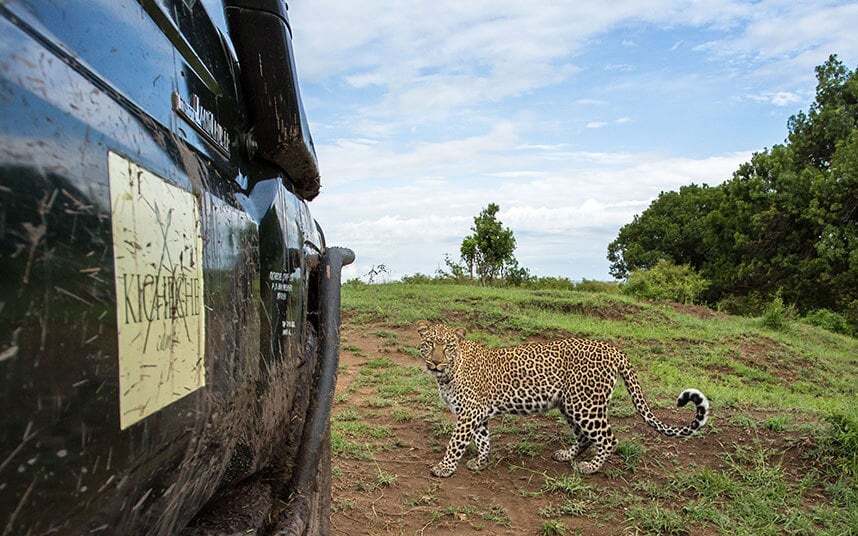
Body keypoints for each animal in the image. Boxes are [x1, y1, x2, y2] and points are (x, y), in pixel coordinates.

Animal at [416, 320, 708, 480]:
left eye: (448, 347)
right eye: (429, 344)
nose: (436, 362)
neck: (449, 373)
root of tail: (612, 348)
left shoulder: (469, 412)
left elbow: (456, 442)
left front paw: (444, 468)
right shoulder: (476, 413)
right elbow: (483, 439)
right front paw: (481, 462)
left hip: (585, 405)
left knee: (608, 439)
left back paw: (589, 467)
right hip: (570, 404)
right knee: (585, 437)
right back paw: (566, 455)